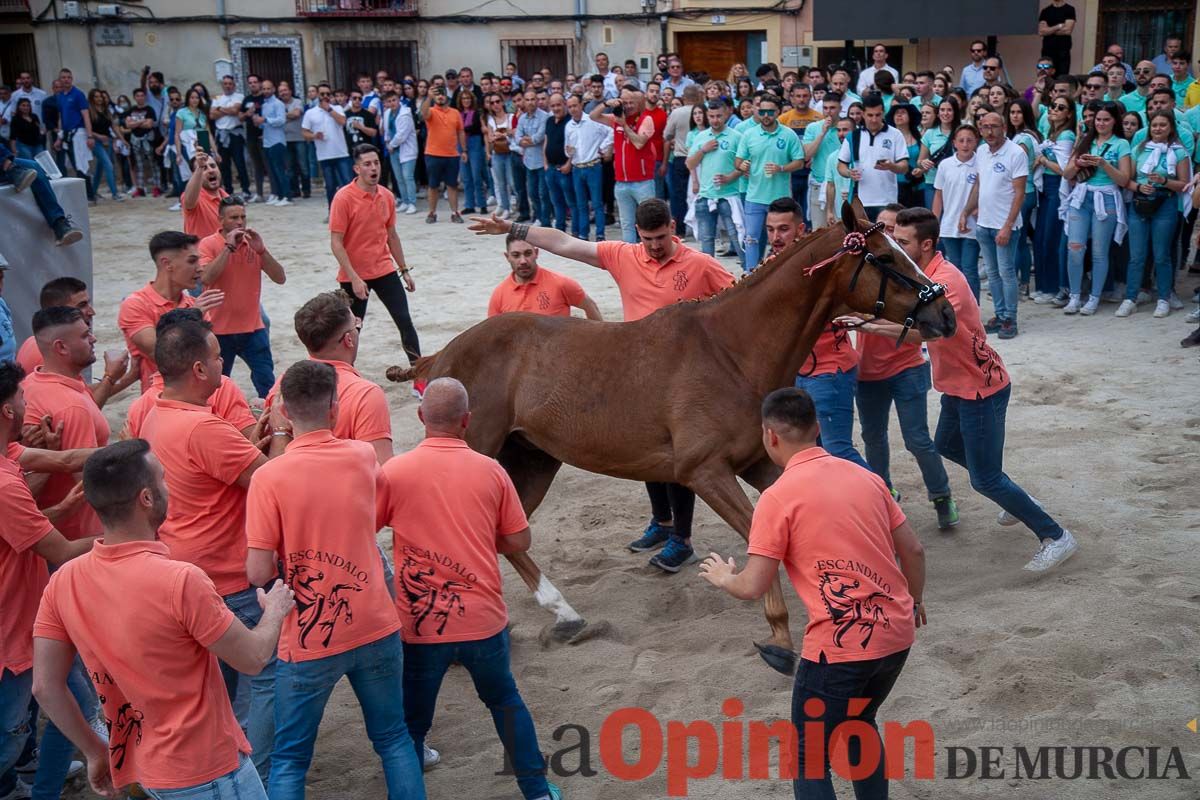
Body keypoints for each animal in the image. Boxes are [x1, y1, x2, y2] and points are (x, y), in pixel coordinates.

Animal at [388, 203, 950, 671]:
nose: (943, 312)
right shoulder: (704, 471)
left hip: (531, 461)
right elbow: (758, 539)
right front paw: (780, 643)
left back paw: (564, 616)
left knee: (504, 537)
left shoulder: (760, 463)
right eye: (884, 256)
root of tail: (442, 357)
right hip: (478, 454)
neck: (731, 350)